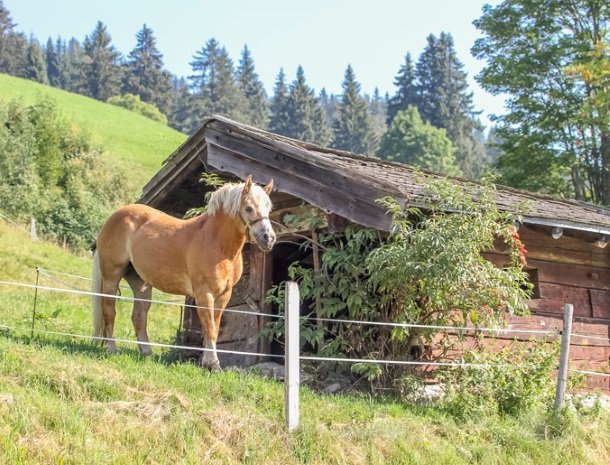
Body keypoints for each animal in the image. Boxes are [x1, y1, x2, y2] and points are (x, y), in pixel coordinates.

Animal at [91, 175, 276, 370]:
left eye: (268, 207)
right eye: (248, 208)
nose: (269, 238)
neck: (217, 242)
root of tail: (113, 218)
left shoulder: (224, 295)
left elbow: (214, 328)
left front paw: (207, 362)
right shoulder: (204, 294)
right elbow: (209, 328)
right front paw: (213, 364)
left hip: (140, 283)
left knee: (138, 317)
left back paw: (147, 353)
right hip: (111, 277)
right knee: (109, 311)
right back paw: (112, 348)